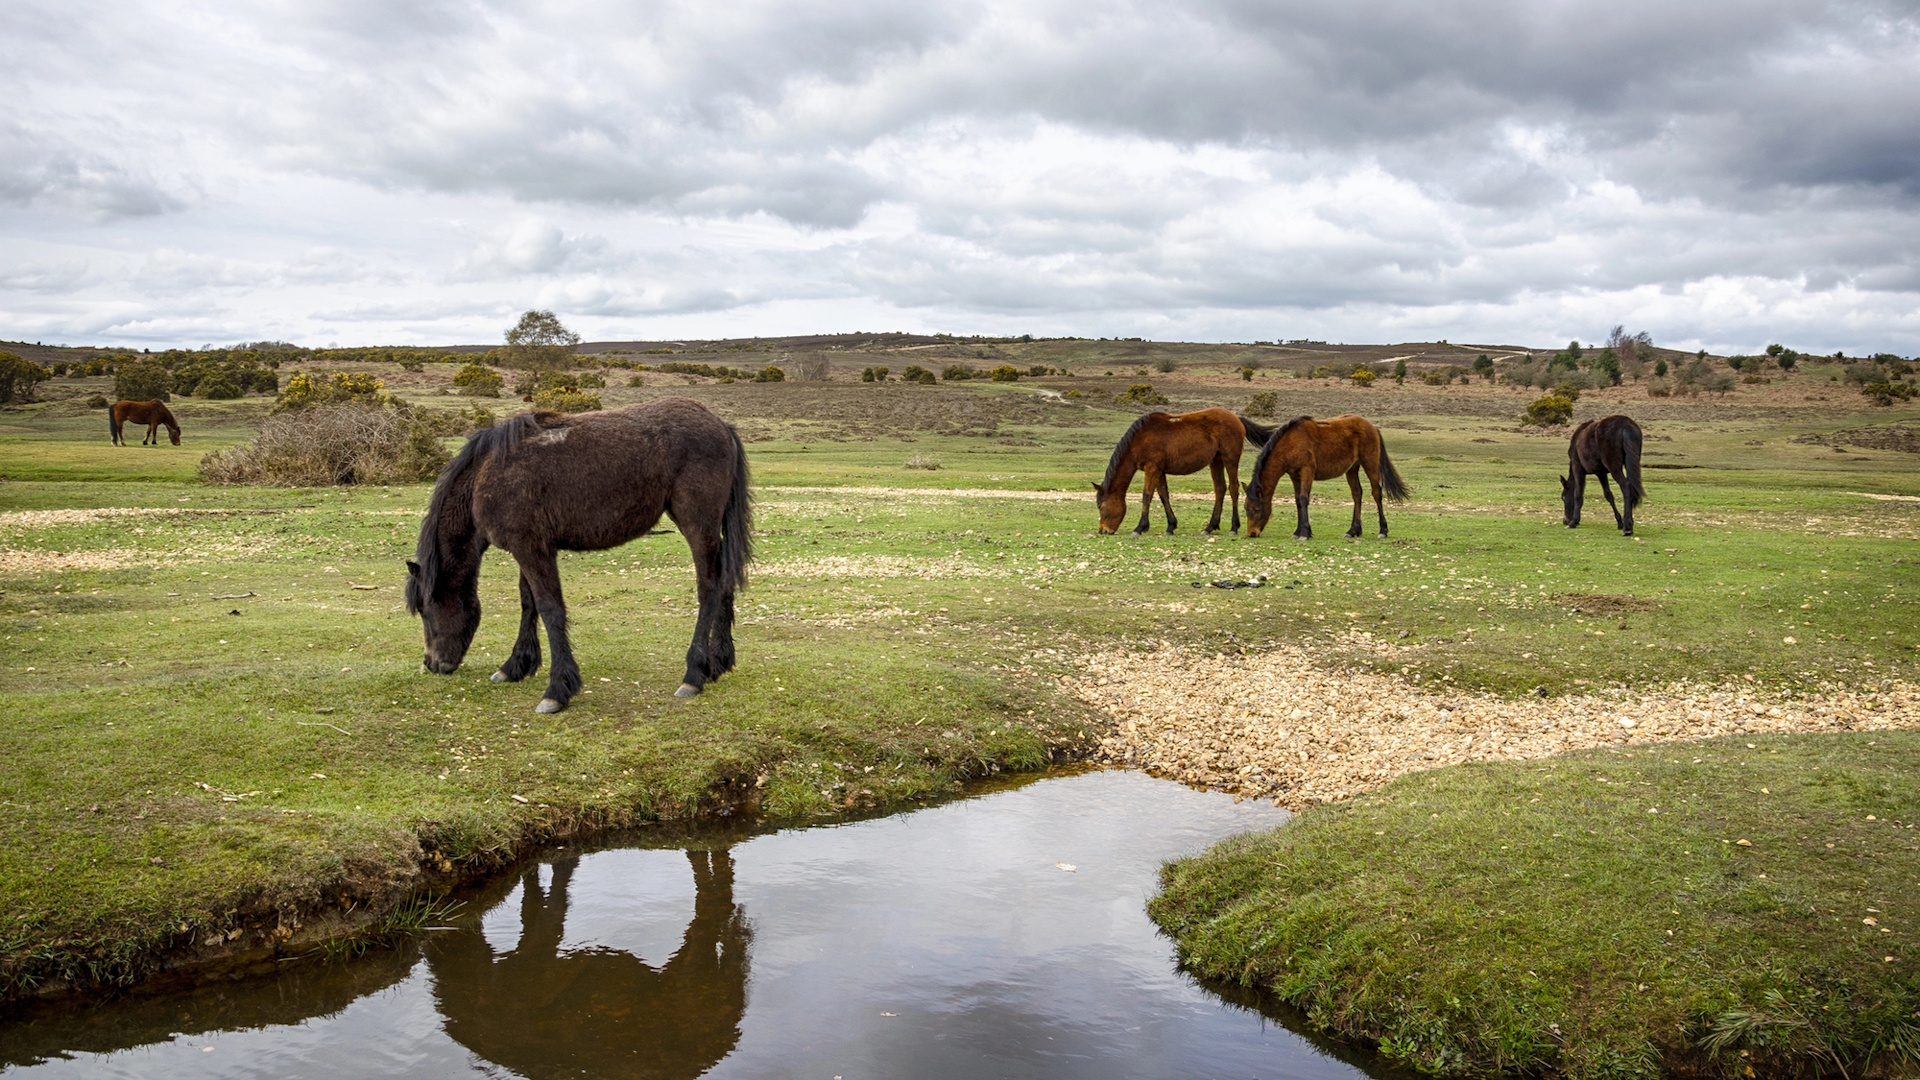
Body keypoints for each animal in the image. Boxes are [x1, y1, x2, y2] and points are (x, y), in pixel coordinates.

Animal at [407, 398, 752, 713]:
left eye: (424, 609)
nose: (432, 664)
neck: (486, 474)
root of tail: (722, 426)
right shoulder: (529, 549)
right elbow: (528, 603)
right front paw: (515, 665)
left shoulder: (531, 549)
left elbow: (550, 609)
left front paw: (557, 690)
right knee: (724, 581)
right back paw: (718, 662)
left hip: (697, 524)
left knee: (709, 588)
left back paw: (694, 674)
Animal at [1094, 409, 1275, 535]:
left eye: (1101, 506)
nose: (1103, 530)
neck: (1139, 439)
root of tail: (1237, 418)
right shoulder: (1159, 470)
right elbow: (1163, 495)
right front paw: (1170, 526)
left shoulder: (1151, 468)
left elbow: (1147, 495)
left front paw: (1140, 527)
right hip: (1215, 461)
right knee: (1220, 489)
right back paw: (1210, 527)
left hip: (1230, 460)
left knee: (1233, 489)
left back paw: (1233, 527)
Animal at [1244, 415, 1409, 539]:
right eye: (1245, 508)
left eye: (1256, 508)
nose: (1252, 533)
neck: (1290, 443)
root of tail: (1372, 426)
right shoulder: (1295, 476)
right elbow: (1297, 501)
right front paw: (1298, 532)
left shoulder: (1307, 471)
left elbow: (1303, 499)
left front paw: (1304, 533)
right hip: (1352, 469)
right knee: (1357, 494)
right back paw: (1353, 531)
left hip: (1370, 464)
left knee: (1376, 493)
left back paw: (1383, 531)